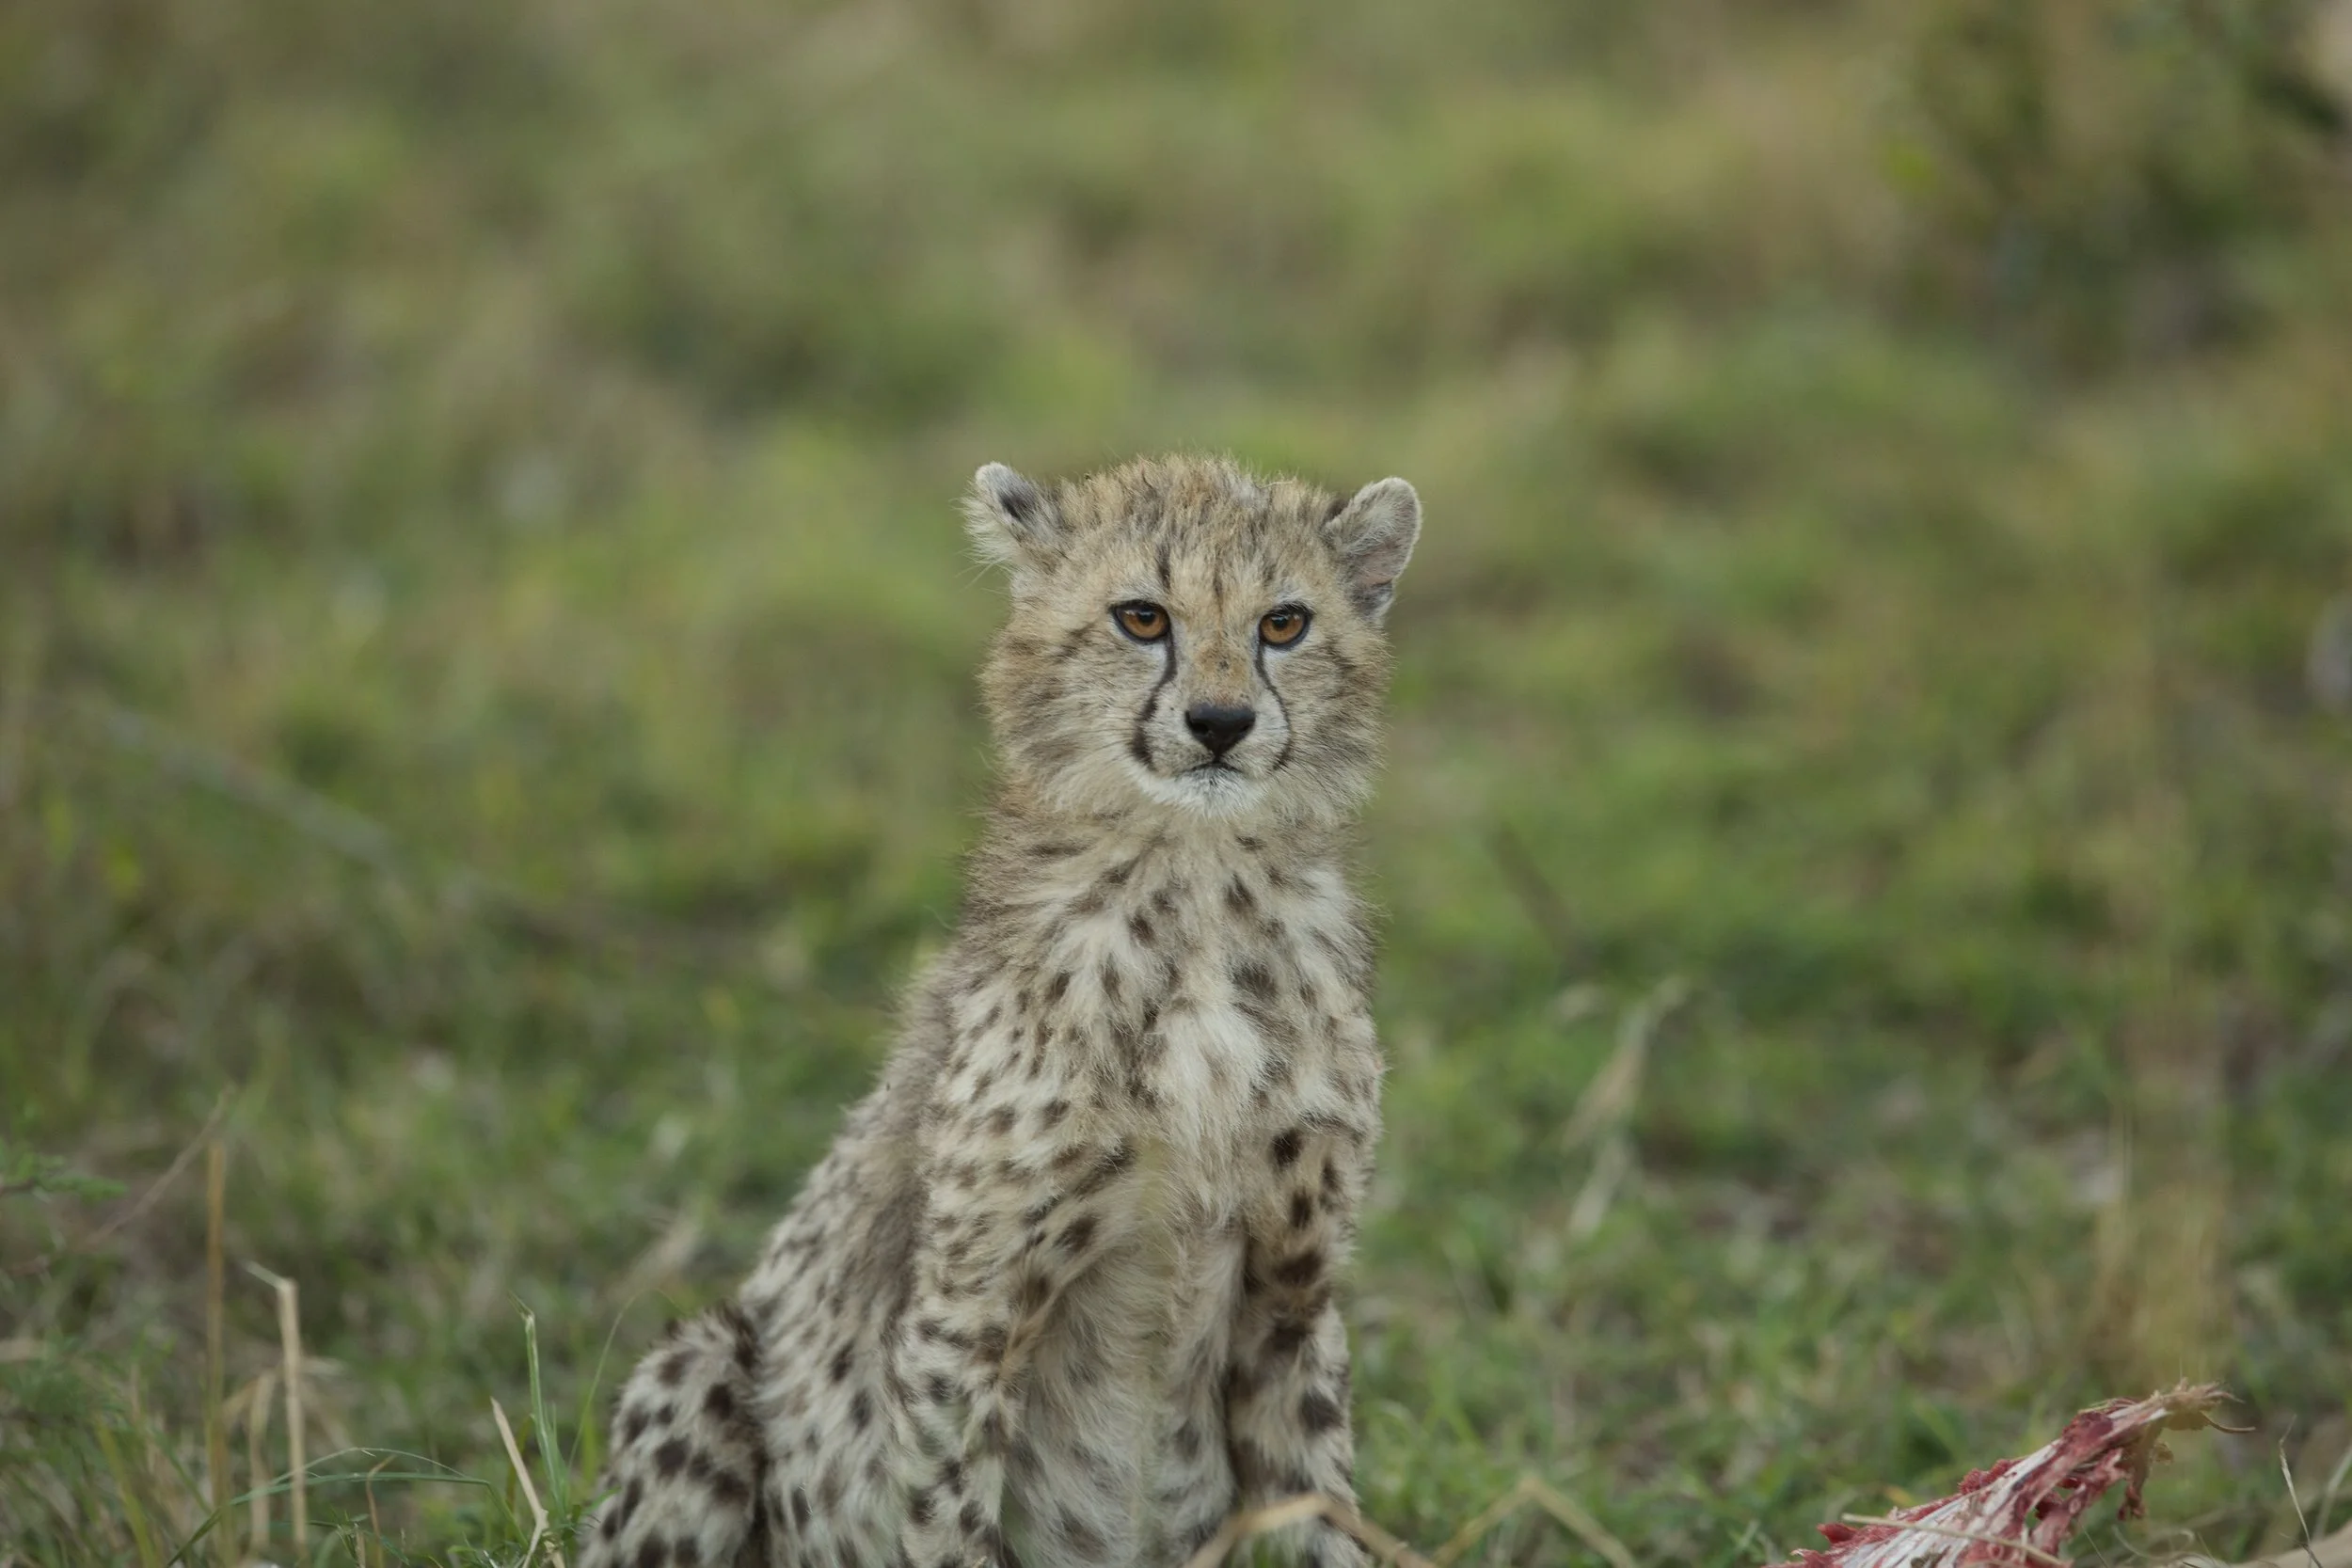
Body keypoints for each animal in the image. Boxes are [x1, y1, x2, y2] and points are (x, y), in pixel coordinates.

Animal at [579, 452, 1422, 1568]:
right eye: (1142, 617)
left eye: (1283, 624)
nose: (1220, 723)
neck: (1196, 886)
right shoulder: (965, 1316)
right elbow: (948, 1519)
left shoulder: (1292, 1297)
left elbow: (1319, 1510)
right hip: (704, 1360)